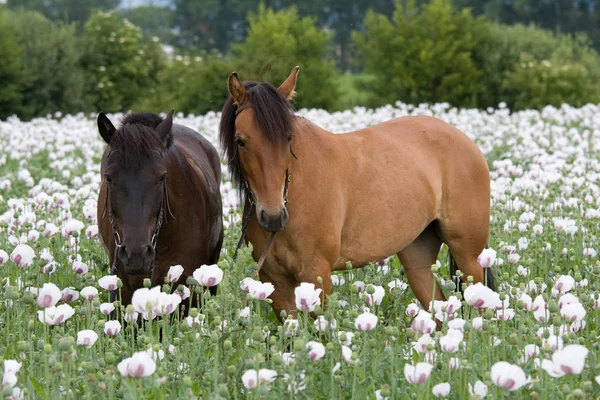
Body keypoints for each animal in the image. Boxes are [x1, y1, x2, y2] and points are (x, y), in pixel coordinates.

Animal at [220, 67, 492, 320]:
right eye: (240, 141)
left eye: (288, 139)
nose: (273, 217)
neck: (295, 192)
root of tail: (465, 140)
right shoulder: (275, 282)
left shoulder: (316, 273)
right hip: (418, 258)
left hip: (468, 257)